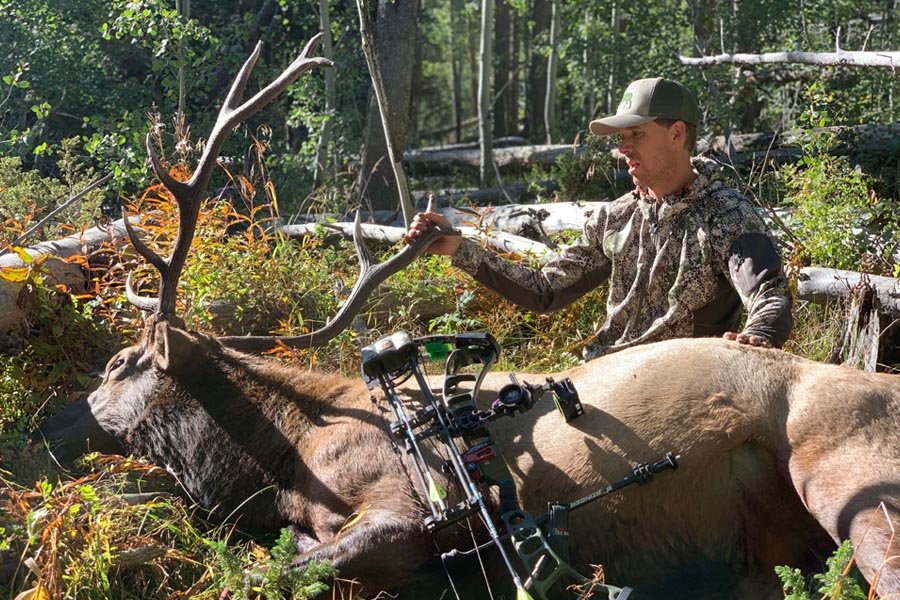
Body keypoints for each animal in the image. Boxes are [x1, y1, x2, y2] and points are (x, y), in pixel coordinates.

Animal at [32, 30, 900, 600]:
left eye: (119, 365)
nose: (48, 425)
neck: (281, 456)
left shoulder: (409, 509)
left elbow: (264, 570)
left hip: (846, 470)